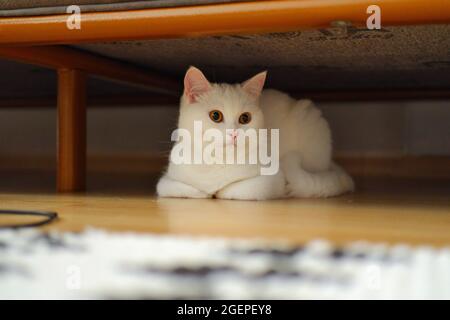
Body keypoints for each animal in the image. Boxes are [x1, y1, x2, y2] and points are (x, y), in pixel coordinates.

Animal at [156, 66, 354, 199]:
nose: (234, 134)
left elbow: (229, 190)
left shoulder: (270, 181)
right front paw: (206, 192)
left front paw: (217, 192)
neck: (218, 161)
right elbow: (189, 190)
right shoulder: (167, 181)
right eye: (215, 115)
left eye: (245, 118)